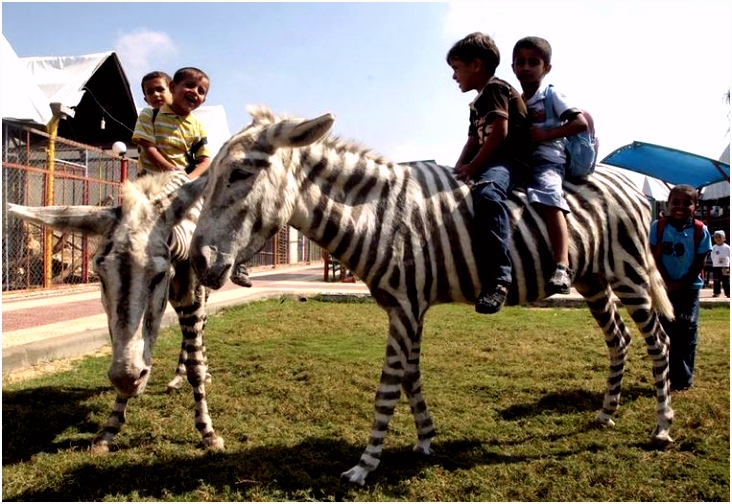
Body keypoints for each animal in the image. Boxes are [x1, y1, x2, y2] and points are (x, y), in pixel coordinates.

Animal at [7, 171, 224, 453]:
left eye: (160, 275)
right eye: (100, 276)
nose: (127, 379)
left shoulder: (193, 297)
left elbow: (195, 361)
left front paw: (207, 432)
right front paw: (109, 430)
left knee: (198, 333)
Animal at [189, 106, 674, 486]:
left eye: (239, 173)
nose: (196, 262)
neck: (379, 216)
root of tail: (631, 185)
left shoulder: (405, 304)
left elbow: (387, 385)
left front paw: (365, 466)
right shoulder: (407, 304)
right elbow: (410, 376)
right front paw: (425, 439)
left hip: (630, 274)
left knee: (658, 342)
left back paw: (662, 429)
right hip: (593, 279)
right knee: (619, 339)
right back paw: (606, 414)